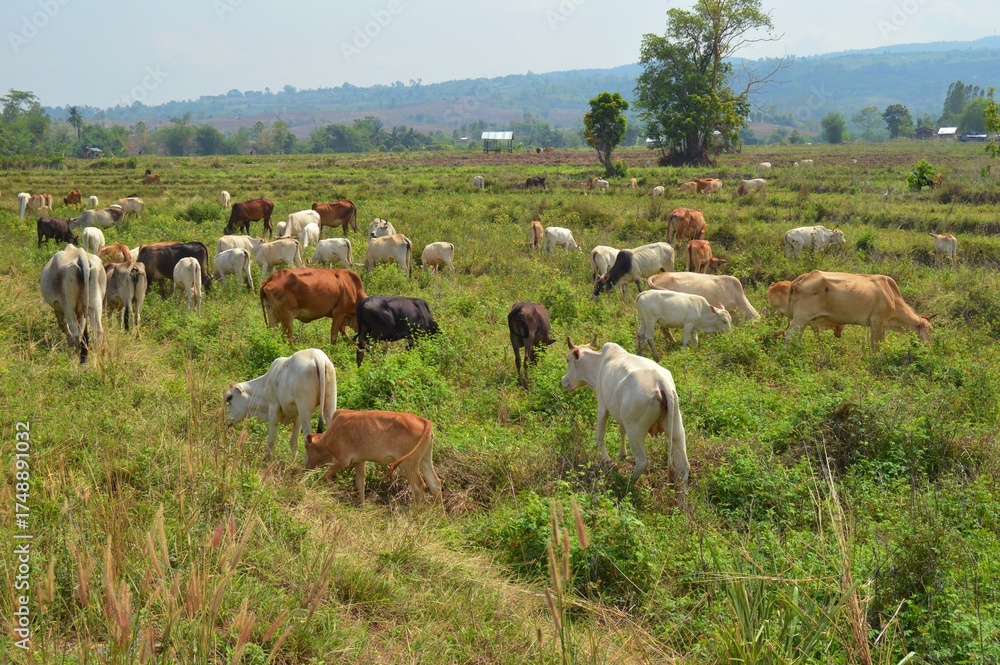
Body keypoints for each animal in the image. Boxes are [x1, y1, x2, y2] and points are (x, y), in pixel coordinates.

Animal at [304, 410, 441, 509]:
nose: (307, 467)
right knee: (435, 484)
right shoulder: (359, 461)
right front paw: (363, 506)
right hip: (424, 459)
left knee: (418, 486)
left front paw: (340, 495)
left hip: (408, 463)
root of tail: (423, 420)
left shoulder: (341, 460)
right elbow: (360, 483)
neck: (328, 436)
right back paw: (439, 516)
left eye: (306, 446)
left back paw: (414, 515)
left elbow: (325, 476)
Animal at [561, 337, 689, 503]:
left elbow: (600, 437)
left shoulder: (602, 405)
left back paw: (627, 485)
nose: (563, 381)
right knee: (683, 467)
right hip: (677, 427)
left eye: (568, 359)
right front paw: (622, 455)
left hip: (635, 430)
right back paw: (681, 504)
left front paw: (609, 461)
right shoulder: (621, 415)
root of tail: (662, 384)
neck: (599, 363)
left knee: (642, 462)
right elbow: (621, 431)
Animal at [783, 270, 932, 349]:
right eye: (931, 330)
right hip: (801, 317)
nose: (930, 348)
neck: (893, 297)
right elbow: (875, 345)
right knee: (789, 335)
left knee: (797, 336)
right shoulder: (876, 322)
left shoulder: (882, 325)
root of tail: (801, 278)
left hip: (804, 321)